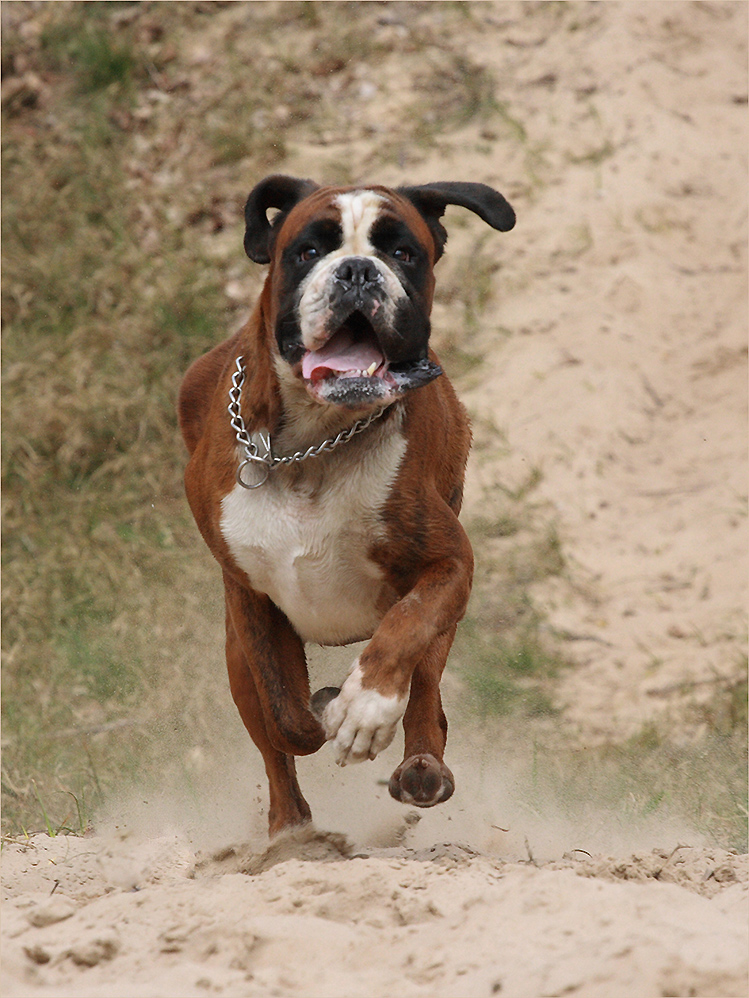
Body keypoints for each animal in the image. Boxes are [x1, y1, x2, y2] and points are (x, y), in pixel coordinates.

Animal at [178, 176, 512, 840]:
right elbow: (286, 717)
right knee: (275, 745)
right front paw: (331, 708)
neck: (316, 442)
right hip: (234, 653)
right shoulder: (250, 602)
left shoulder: (447, 566)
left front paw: (365, 707)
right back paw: (290, 831)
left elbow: (404, 631)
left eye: (403, 252)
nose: (358, 270)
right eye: (308, 250)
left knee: (426, 690)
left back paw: (419, 765)